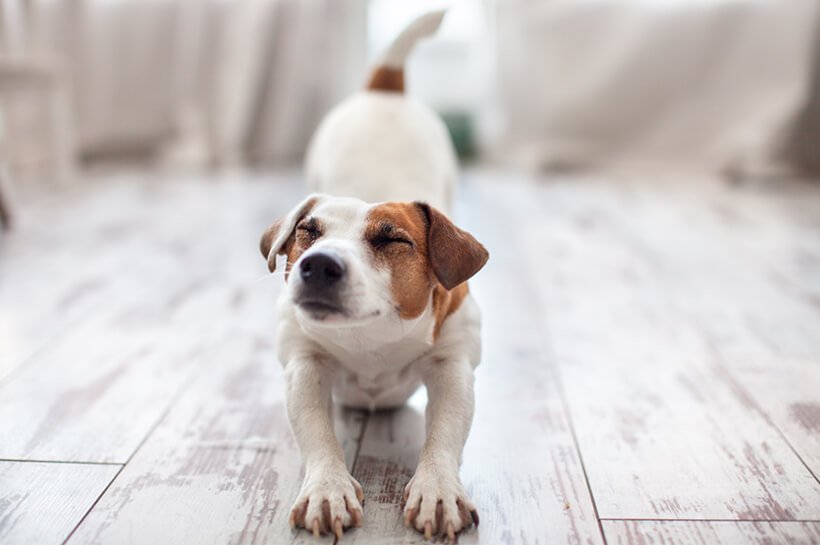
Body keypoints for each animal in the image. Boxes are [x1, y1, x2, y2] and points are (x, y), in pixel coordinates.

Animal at [260, 10, 486, 540]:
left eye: (392, 240)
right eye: (307, 231)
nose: (318, 263)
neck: (372, 338)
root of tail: (385, 88)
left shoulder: (453, 365)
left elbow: (445, 432)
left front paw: (438, 488)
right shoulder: (304, 364)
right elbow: (317, 431)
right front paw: (327, 487)